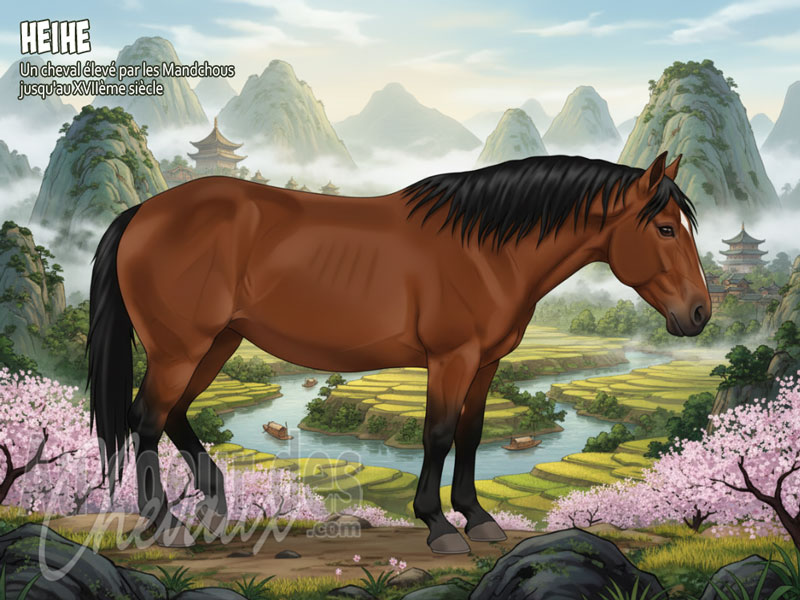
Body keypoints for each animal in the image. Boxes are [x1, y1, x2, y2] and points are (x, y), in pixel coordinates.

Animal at [87, 151, 711, 553]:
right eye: (664, 229)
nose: (701, 313)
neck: (485, 250)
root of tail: (144, 212)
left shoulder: (486, 363)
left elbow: (471, 435)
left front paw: (478, 519)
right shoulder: (451, 358)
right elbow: (437, 434)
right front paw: (438, 525)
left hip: (217, 343)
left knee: (174, 415)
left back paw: (213, 506)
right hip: (181, 348)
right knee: (147, 419)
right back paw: (164, 526)